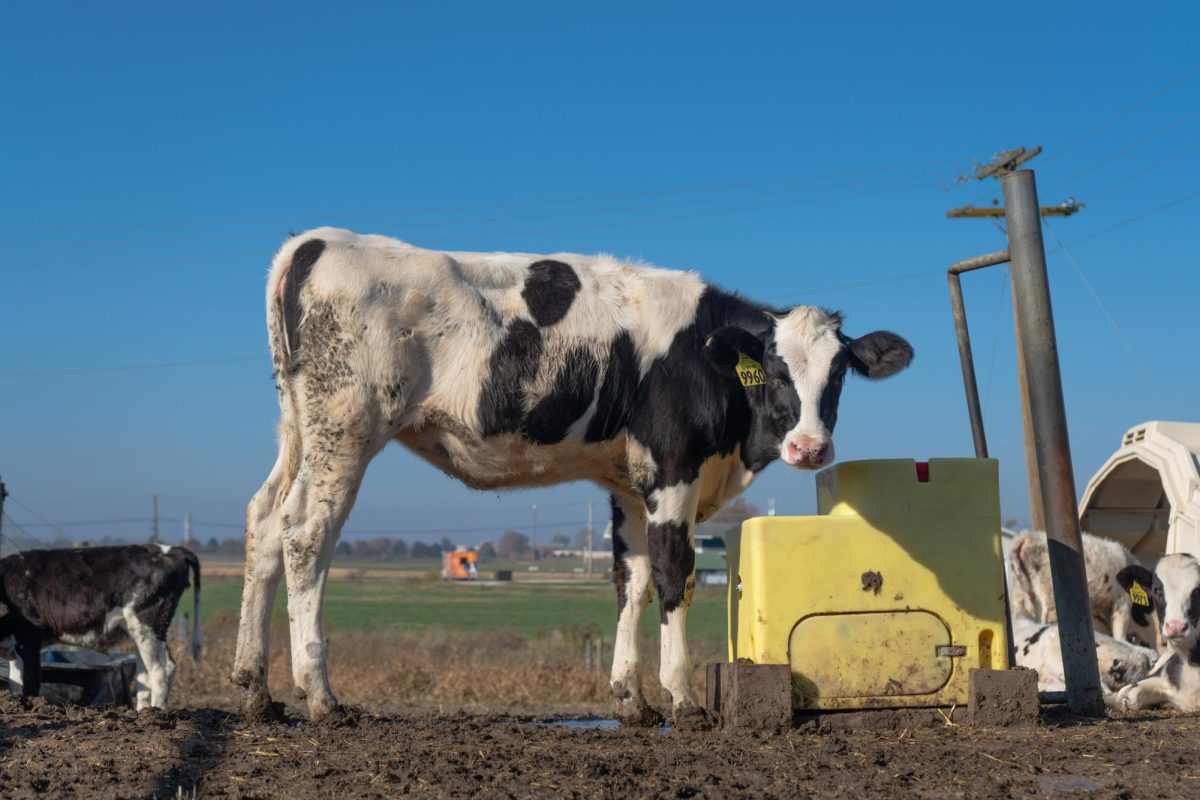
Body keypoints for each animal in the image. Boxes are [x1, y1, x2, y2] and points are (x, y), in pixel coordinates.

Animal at [0, 544, 201, 705]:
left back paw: (155, 713)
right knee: (147, 673)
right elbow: (16, 683)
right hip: (143, 631)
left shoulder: (29, 637)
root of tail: (169, 549)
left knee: (160, 671)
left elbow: (31, 683)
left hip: (147, 624)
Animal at [231, 227, 907, 729]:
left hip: (299, 427)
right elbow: (674, 575)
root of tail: (317, 240)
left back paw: (255, 688)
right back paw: (320, 694)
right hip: (345, 427)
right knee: (306, 533)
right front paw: (684, 700)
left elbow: (630, 581)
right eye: (774, 368)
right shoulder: (673, 470)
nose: (810, 447)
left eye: (839, 373)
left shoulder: (629, 486)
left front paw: (632, 701)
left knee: (263, 519)